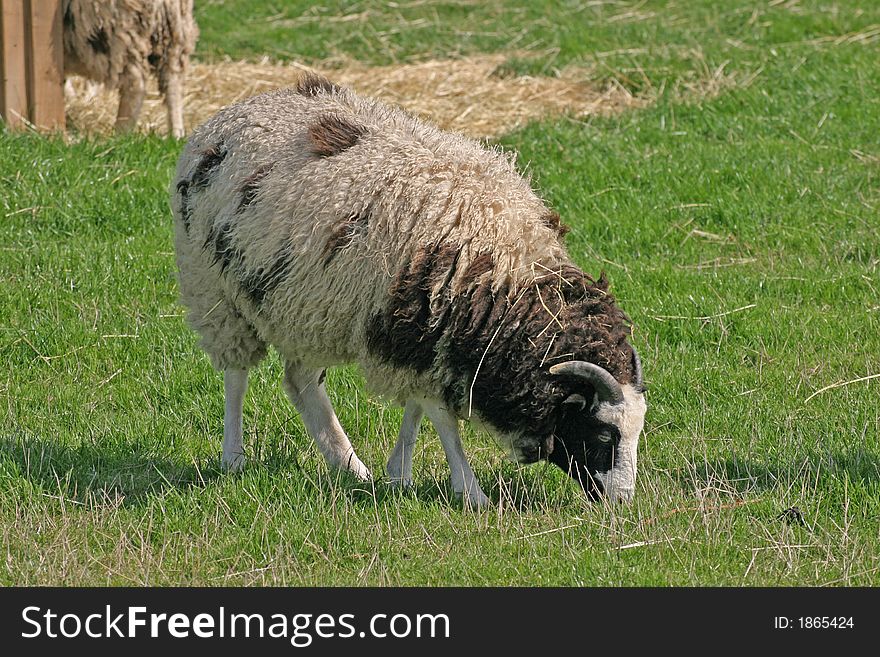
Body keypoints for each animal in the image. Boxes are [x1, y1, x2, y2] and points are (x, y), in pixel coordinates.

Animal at [62, 0, 198, 137]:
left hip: (116, 34)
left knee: (136, 84)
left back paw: (121, 134)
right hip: (175, 31)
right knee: (173, 82)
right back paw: (176, 134)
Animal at [170, 75, 648, 508]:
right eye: (603, 433)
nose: (623, 501)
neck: (504, 274)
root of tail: (231, 112)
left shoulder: (416, 334)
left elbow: (418, 406)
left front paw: (397, 473)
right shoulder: (413, 330)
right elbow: (440, 414)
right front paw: (470, 491)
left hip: (308, 304)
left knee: (300, 381)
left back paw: (349, 466)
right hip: (215, 292)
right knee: (236, 374)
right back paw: (234, 457)